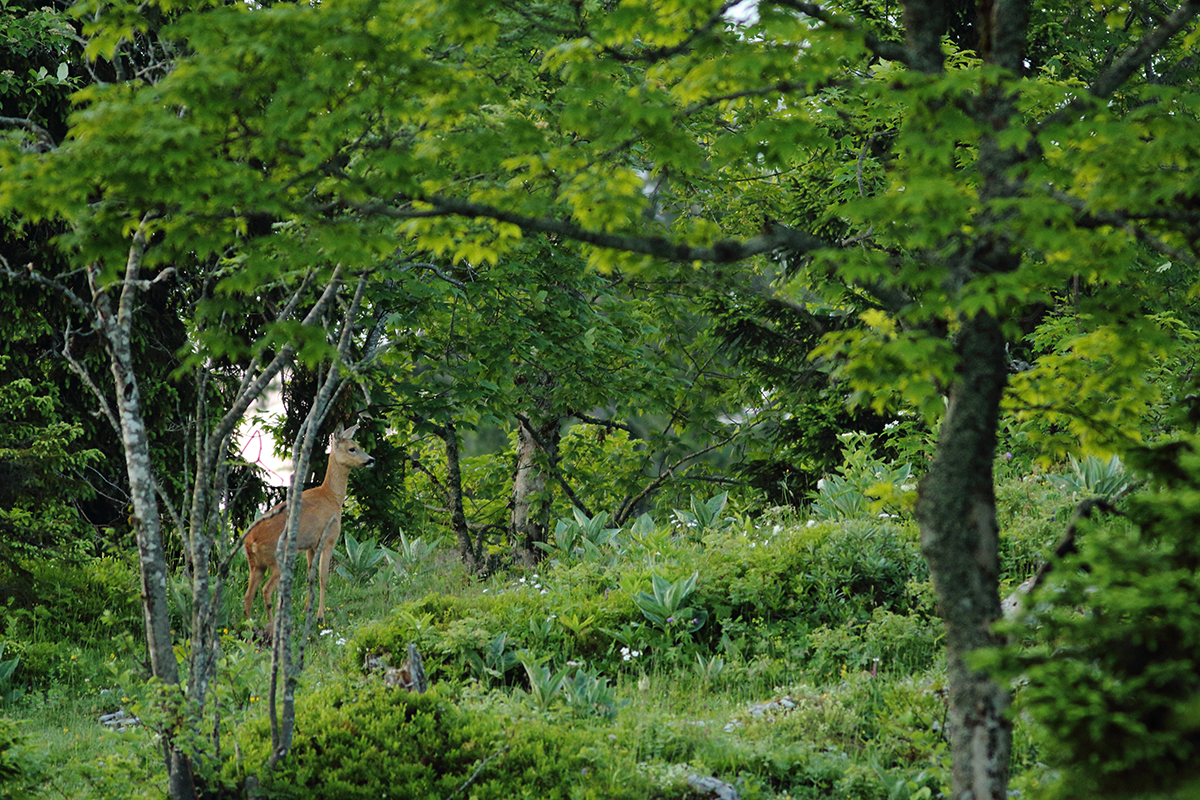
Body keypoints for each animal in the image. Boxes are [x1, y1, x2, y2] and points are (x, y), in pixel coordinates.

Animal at [243, 422, 374, 628]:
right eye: (352, 448)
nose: (370, 460)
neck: (332, 497)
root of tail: (251, 541)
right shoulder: (329, 539)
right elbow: (323, 578)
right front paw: (320, 616)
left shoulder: (310, 545)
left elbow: (310, 575)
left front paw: (307, 609)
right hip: (277, 559)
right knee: (266, 590)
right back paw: (272, 626)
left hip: (255, 564)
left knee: (248, 595)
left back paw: (250, 629)